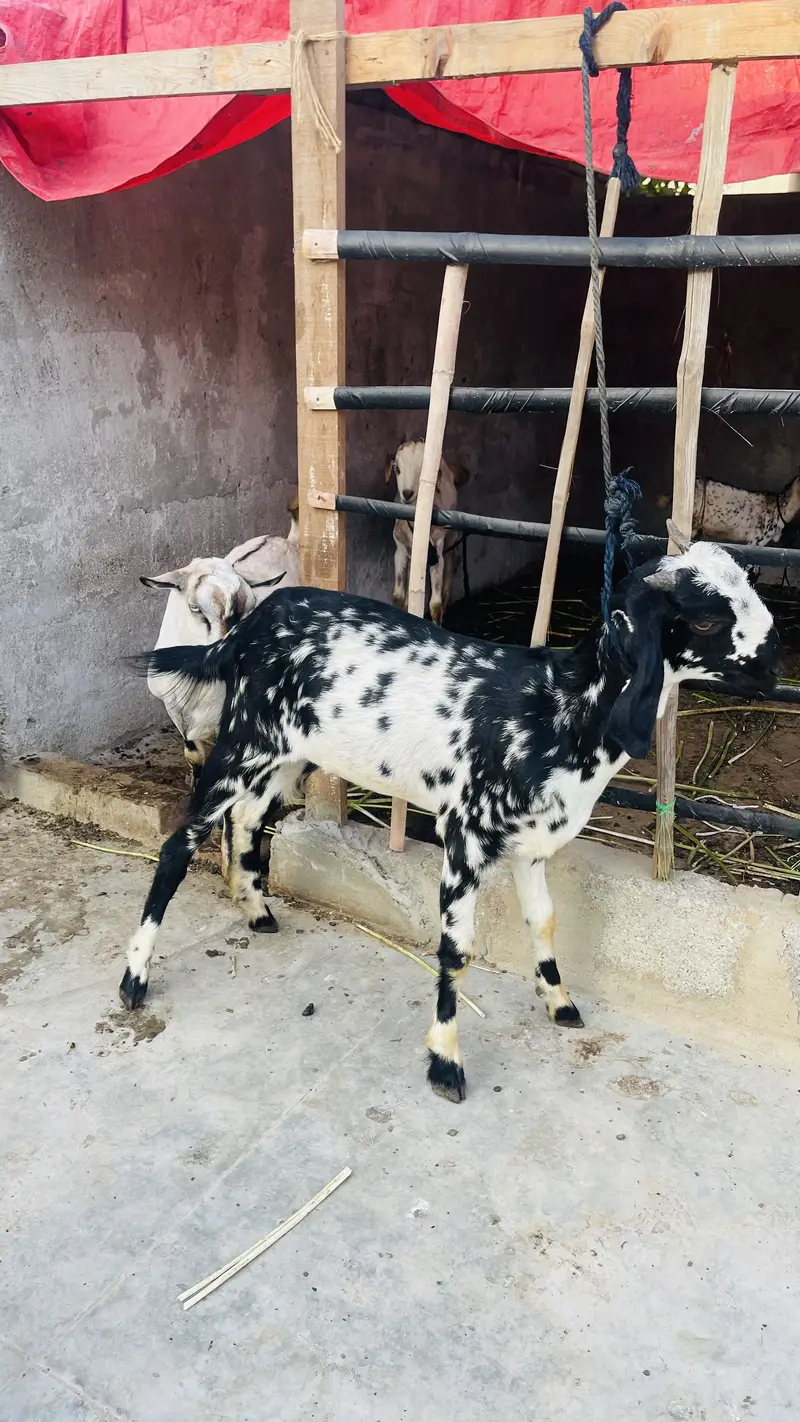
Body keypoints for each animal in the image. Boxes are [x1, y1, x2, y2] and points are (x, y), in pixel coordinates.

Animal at [122, 523, 778, 1103]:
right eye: (705, 619)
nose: (774, 668)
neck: (558, 707)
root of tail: (247, 626)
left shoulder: (530, 845)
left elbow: (544, 921)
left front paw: (560, 1003)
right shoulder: (466, 833)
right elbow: (457, 950)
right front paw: (445, 1061)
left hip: (287, 755)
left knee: (249, 819)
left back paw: (256, 909)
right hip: (241, 742)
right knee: (179, 844)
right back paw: (135, 979)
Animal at [386, 440, 469, 624]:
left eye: (422, 472)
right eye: (397, 468)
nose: (407, 493)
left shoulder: (436, 552)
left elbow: (435, 605)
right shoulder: (400, 549)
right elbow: (398, 596)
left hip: (450, 537)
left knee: (452, 564)